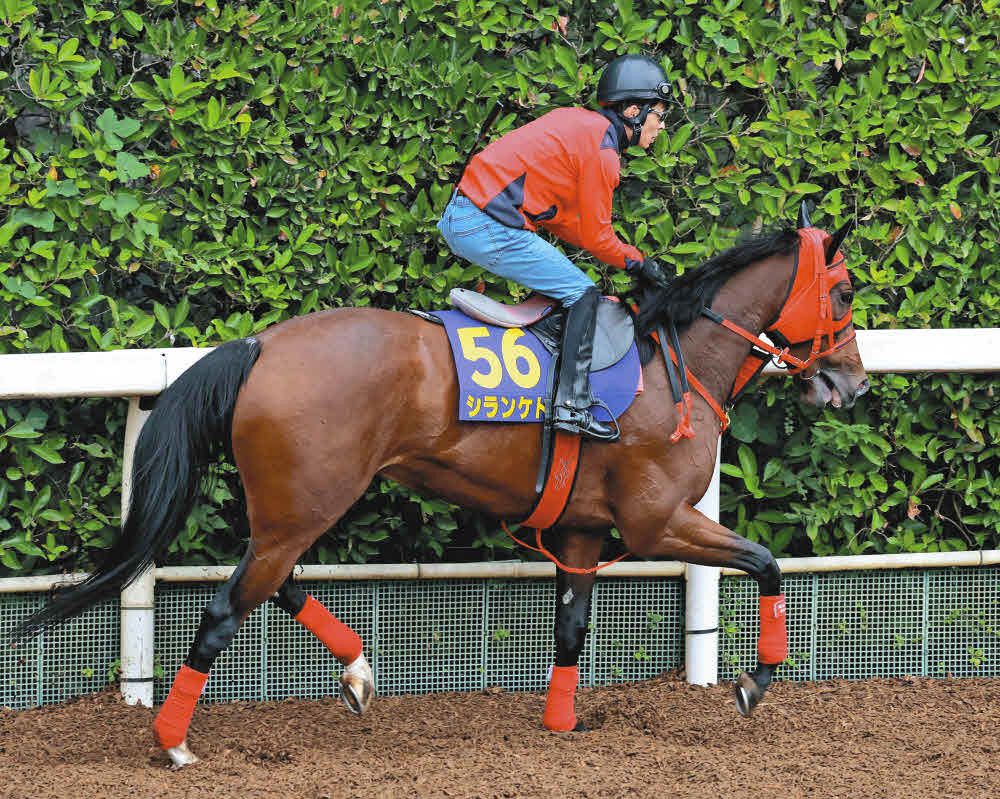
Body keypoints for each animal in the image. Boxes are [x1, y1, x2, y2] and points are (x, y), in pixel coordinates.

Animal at [12, 211, 869, 768]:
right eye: (846, 291)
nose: (851, 384)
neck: (675, 365)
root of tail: (259, 345)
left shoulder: (585, 531)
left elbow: (572, 628)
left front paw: (562, 723)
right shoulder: (657, 520)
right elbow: (766, 561)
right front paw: (755, 681)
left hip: (294, 507)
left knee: (275, 582)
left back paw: (357, 671)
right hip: (306, 503)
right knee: (227, 607)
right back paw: (174, 741)